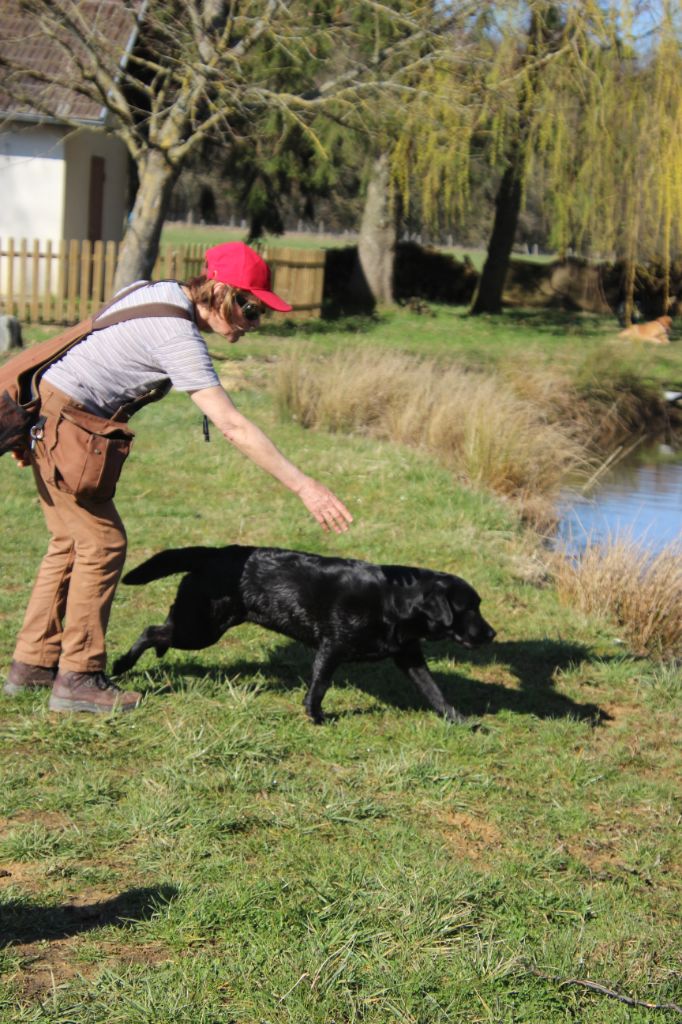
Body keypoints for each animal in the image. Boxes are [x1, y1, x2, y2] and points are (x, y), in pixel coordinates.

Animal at [112, 548, 493, 724]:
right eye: (469, 608)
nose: (492, 633)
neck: (395, 601)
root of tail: (212, 552)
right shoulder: (331, 647)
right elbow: (319, 686)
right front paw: (316, 716)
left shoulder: (409, 655)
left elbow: (435, 691)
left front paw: (461, 721)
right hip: (201, 629)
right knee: (151, 630)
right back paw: (121, 664)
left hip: (202, 627)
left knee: (161, 632)